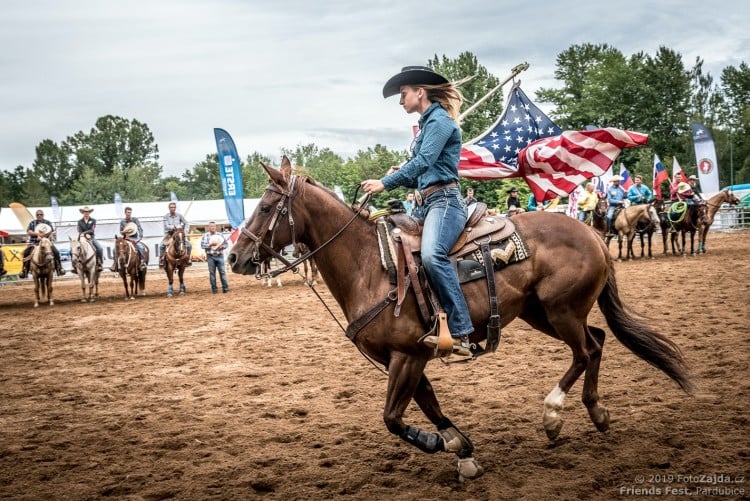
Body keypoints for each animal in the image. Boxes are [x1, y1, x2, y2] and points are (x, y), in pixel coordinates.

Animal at [228, 158, 692, 478]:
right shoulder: (401, 358)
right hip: (542, 313)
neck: (371, 266)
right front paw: (462, 449)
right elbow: (427, 404)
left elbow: (393, 418)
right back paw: (596, 412)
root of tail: (592, 232)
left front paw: (439, 444)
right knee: (596, 341)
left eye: (266, 206)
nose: (234, 257)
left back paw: (554, 415)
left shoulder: (407, 356)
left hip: (561, 311)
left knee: (585, 351)